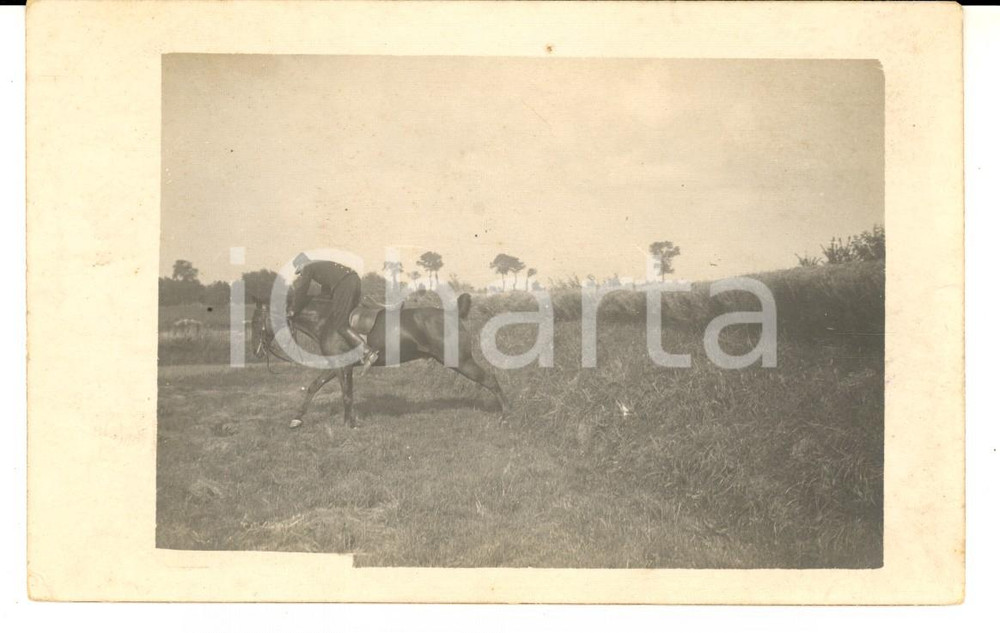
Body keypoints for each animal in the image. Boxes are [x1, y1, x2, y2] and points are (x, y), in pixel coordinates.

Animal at [249, 292, 509, 428]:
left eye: (255, 321)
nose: (256, 351)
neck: (326, 321)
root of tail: (455, 314)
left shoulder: (343, 367)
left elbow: (346, 394)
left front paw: (349, 424)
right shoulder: (338, 366)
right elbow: (316, 387)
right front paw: (297, 418)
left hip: (460, 361)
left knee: (491, 379)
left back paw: (506, 415)